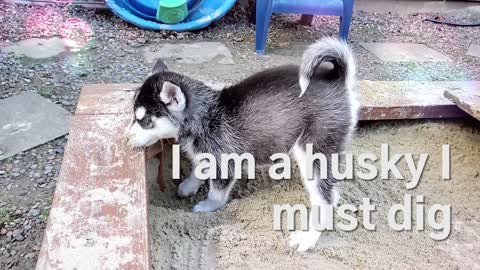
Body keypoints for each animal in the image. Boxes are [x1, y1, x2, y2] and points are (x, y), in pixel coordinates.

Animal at [125, 38, 358, 251]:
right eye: (134, 116)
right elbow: (199, 168)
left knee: (327, 199)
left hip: (313, 150)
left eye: (146, 121)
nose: (126, 139)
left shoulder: (225, 162)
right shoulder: (208, 154)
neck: (206, 115)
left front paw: (208, 206)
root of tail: (336, 80)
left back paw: (307, 238)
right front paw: (189, 185)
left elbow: (216, 192)